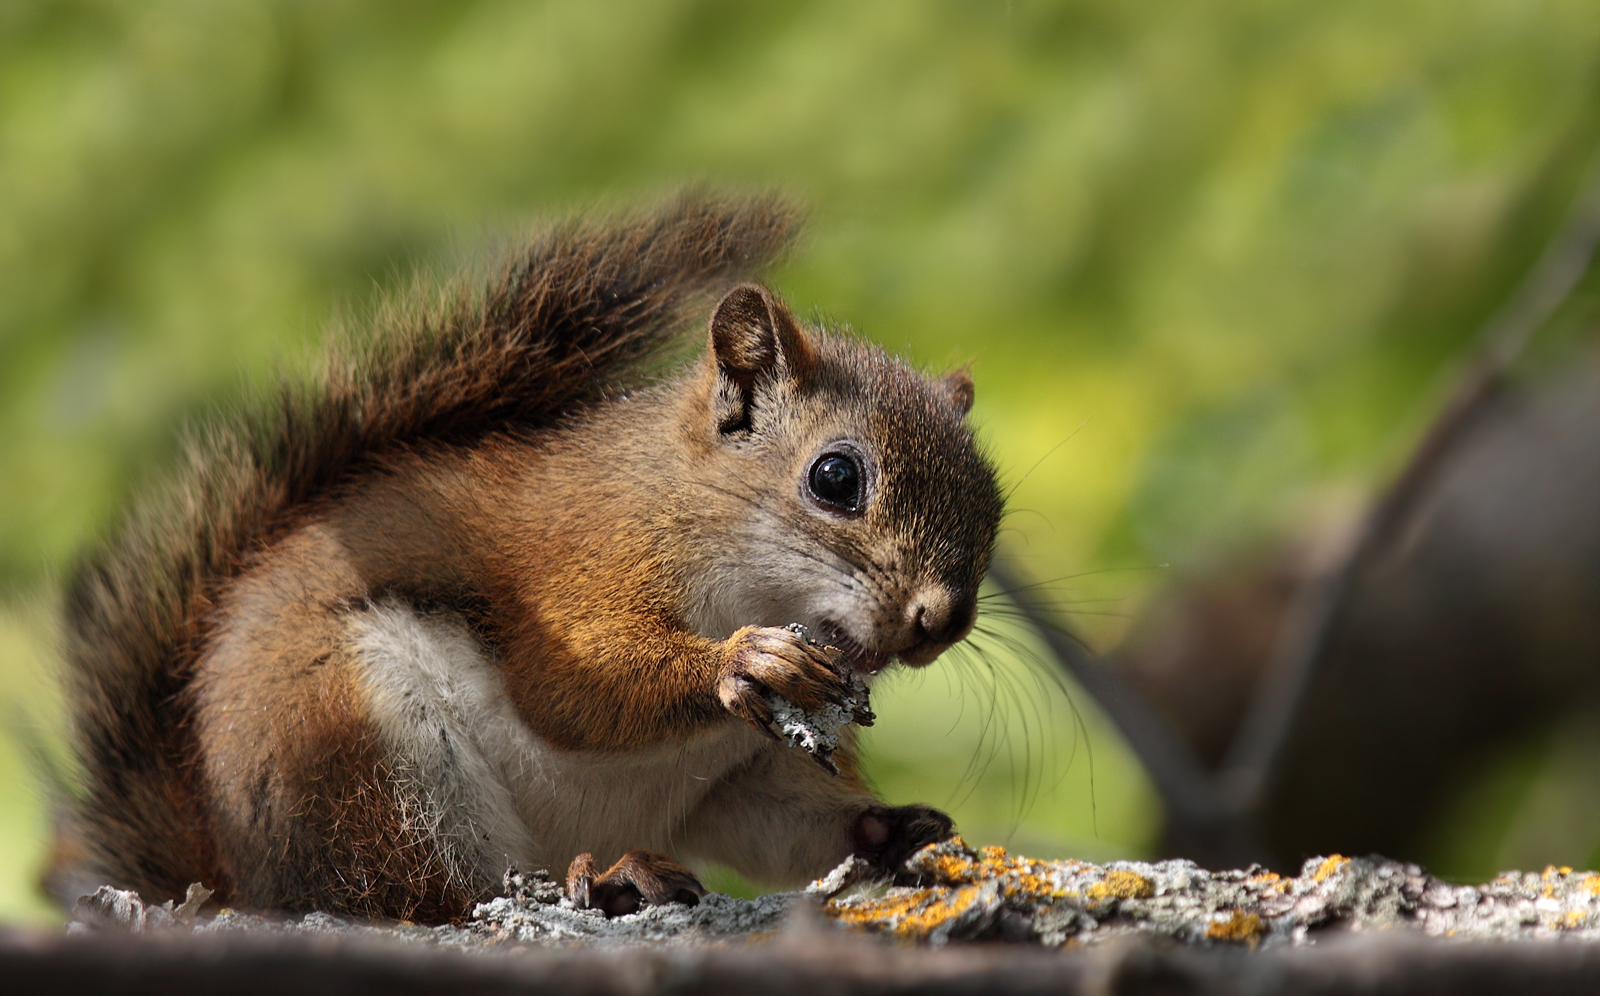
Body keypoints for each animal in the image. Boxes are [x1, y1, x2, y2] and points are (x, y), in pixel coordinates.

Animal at [56, 196, 1004, 928]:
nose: (939, 620)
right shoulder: (579, 566)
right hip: (352, 748)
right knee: (429, 899)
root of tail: (231, 877)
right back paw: (611, 882)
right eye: (835, 477)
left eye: (994, 505)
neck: (685, 503)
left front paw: (890, 829)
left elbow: (782, 825)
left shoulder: (739, 776)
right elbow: (575, 692)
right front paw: (742, 661)